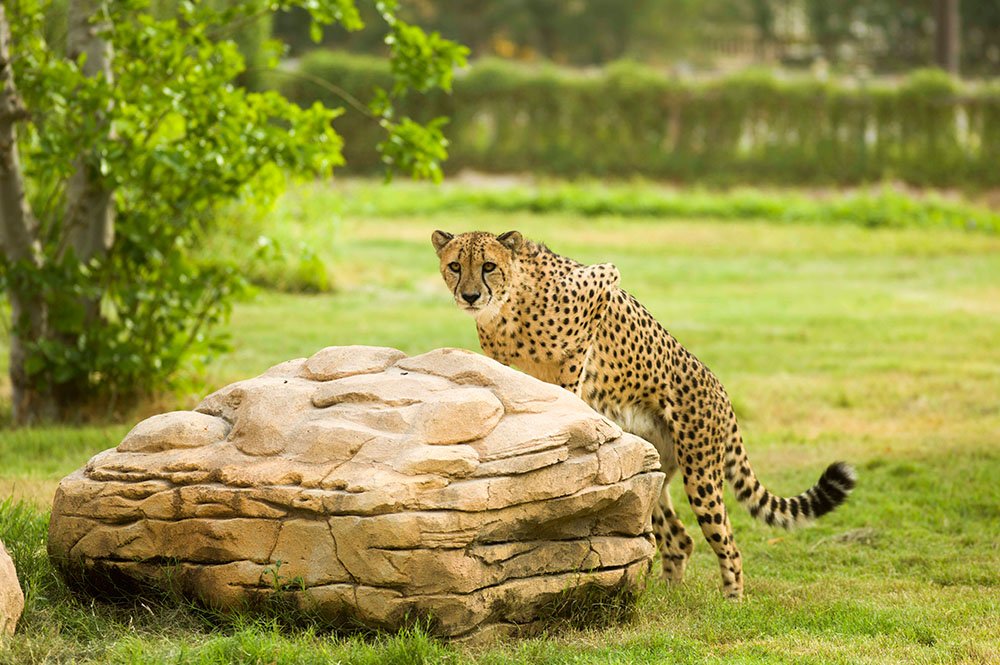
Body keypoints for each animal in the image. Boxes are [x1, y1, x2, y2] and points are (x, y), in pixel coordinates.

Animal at [431, 228, 856, 600]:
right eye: (455, 265)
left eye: (488, 265)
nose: (470, 295)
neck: (509, 303)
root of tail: (721, 391)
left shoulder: (600, 286)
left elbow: (569, 378)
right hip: (656, 471)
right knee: (679, 537)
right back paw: (666, 595)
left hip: (701, 475)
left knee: (727, 545)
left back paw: (732, 601)